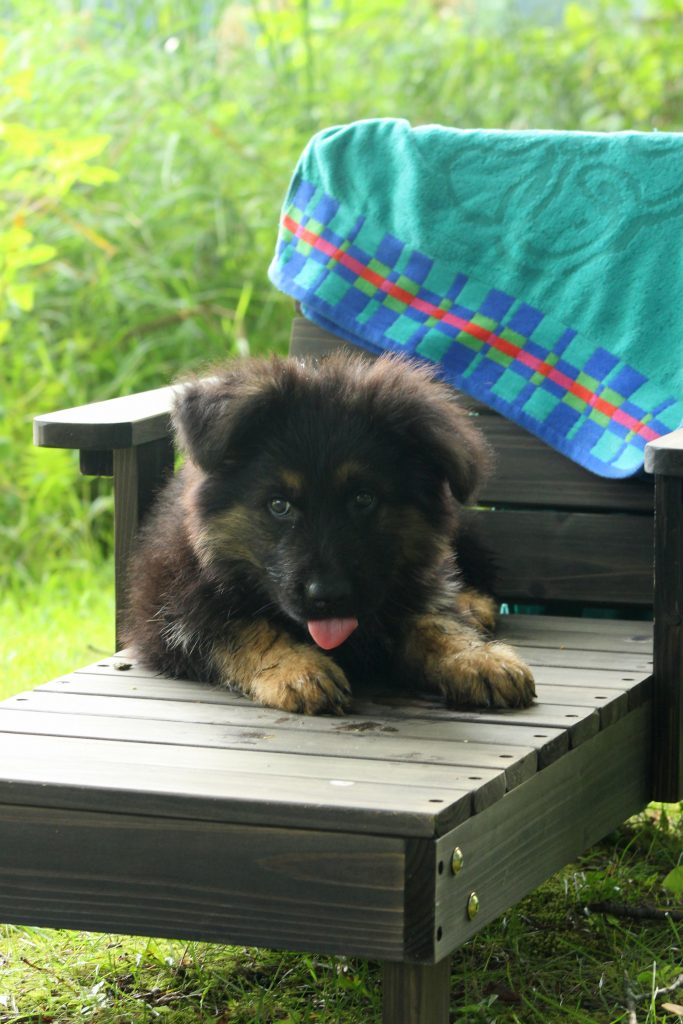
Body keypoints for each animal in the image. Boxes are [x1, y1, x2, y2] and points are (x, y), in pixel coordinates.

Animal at [125, 356, 536, 716]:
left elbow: (435, 622)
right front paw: (297, 669)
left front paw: (478, 657)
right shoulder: (166, 612)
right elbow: (239, 626)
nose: (329, 597)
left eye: (363, 498)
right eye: (279, 505)